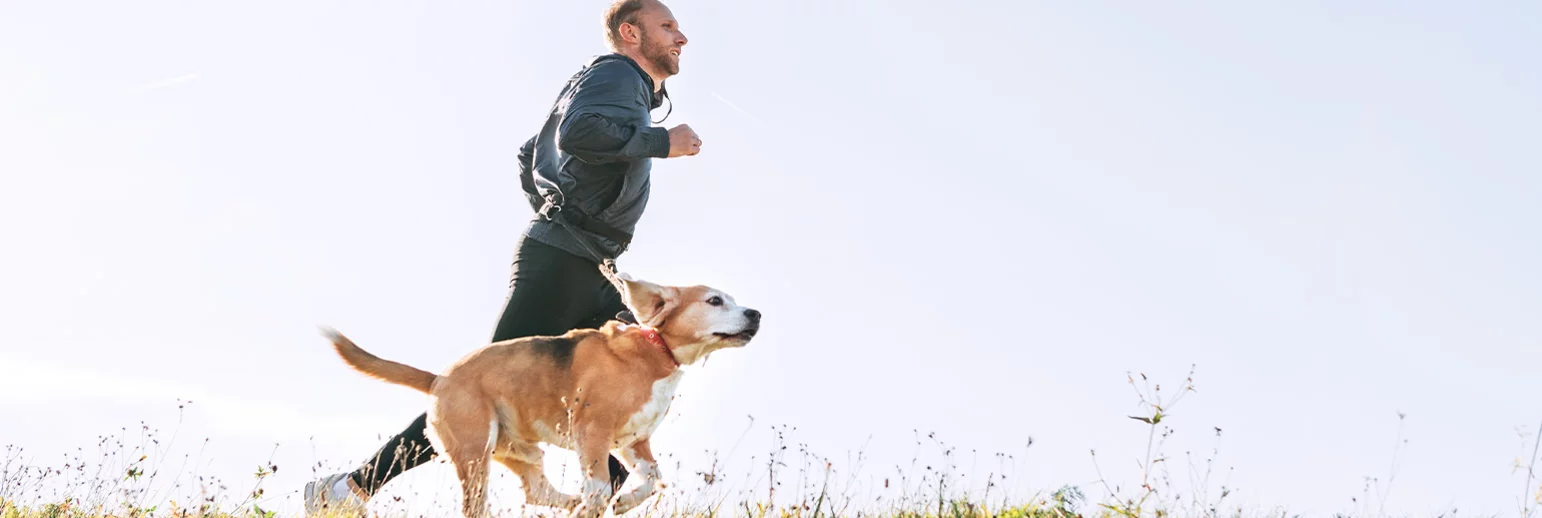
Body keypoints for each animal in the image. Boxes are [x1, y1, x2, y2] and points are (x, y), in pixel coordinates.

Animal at [320, 272, 764, 514]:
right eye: (714, 300)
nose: (756, 314)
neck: (655, 351)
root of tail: (439, 379)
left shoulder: (633, 441)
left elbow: (652, 478)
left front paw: (622, 502)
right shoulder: (593, 432)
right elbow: (601, 484)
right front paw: (603, 502)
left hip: (521, 451)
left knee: (537, 491)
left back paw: (574, 504)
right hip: (476, 453)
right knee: (481, 504)